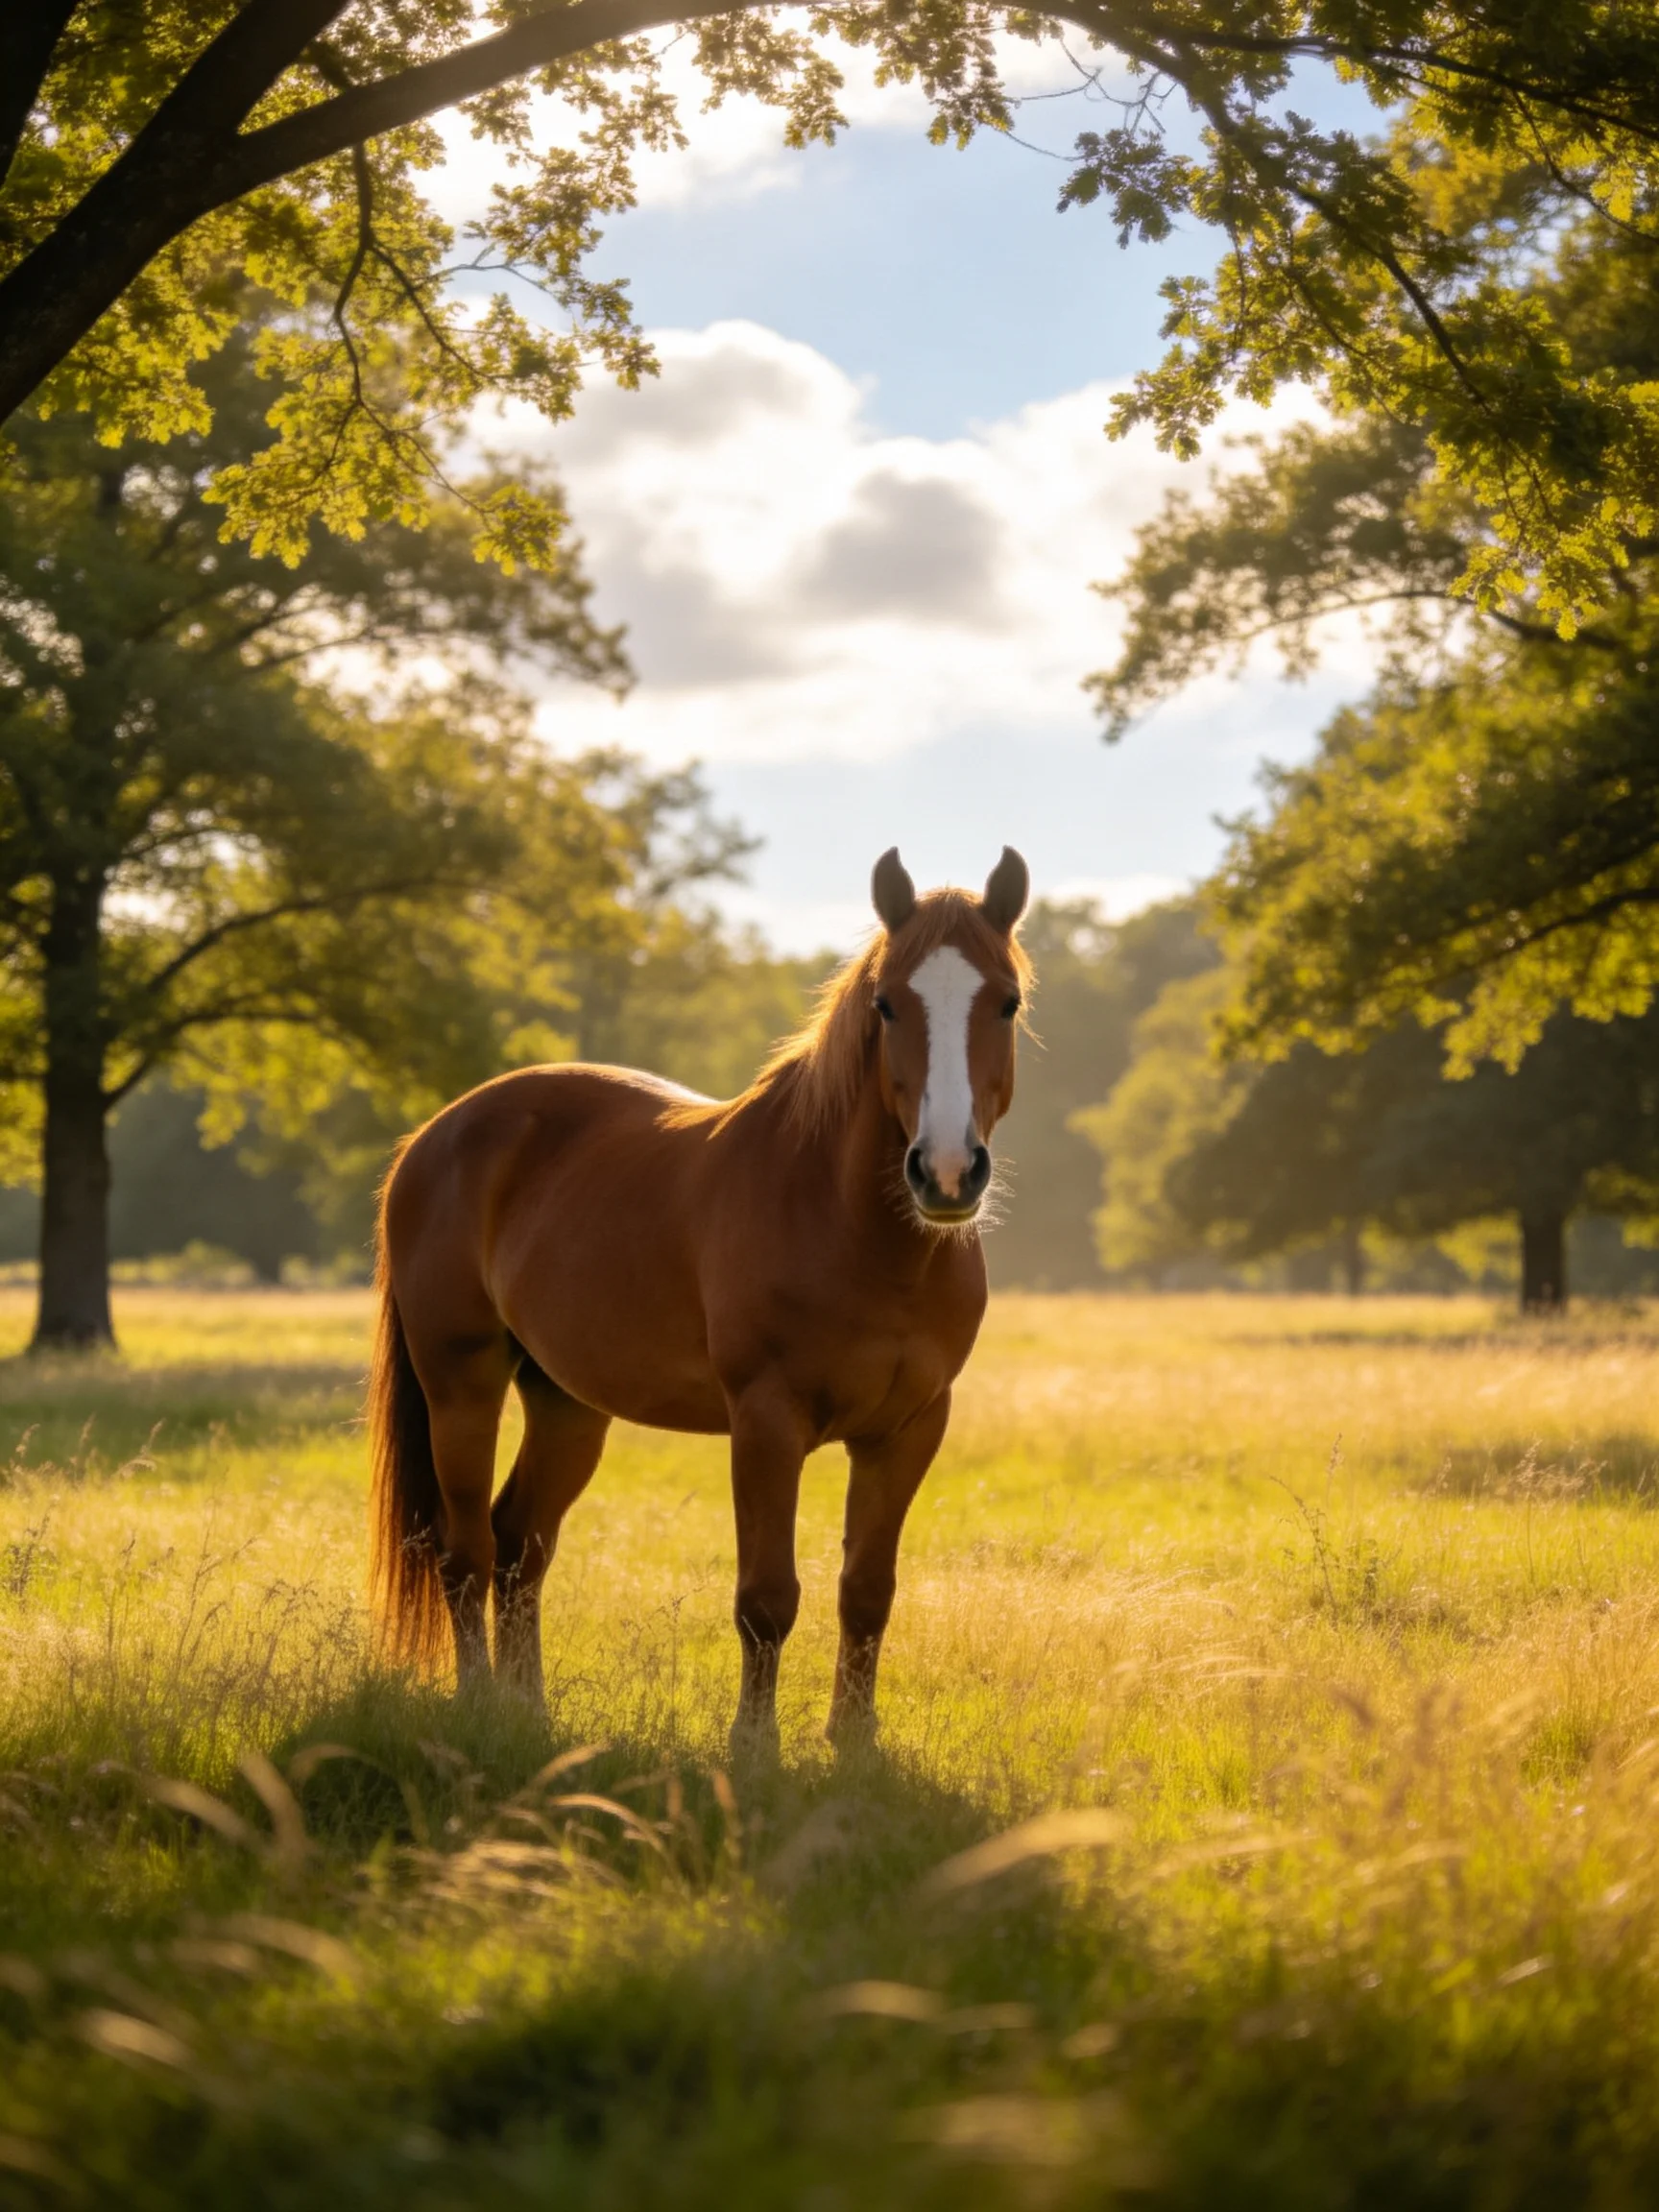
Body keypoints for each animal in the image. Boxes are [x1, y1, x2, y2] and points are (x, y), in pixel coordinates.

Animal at [367, 844, 1032, 1745]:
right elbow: (766, 1599)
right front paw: (754, 1747)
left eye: (1007, 1001)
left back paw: (526, 1713)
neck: (857, 1232)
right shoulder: (765, 1421)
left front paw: (853, 1743)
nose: (948, 1173)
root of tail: (432, 1137)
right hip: (460, 1383)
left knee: (519, 1543)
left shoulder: (908, 1429)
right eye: (888, 1003)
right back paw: (478, 1704)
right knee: (465, 1548)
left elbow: (867, 1591)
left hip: (567, 1402)